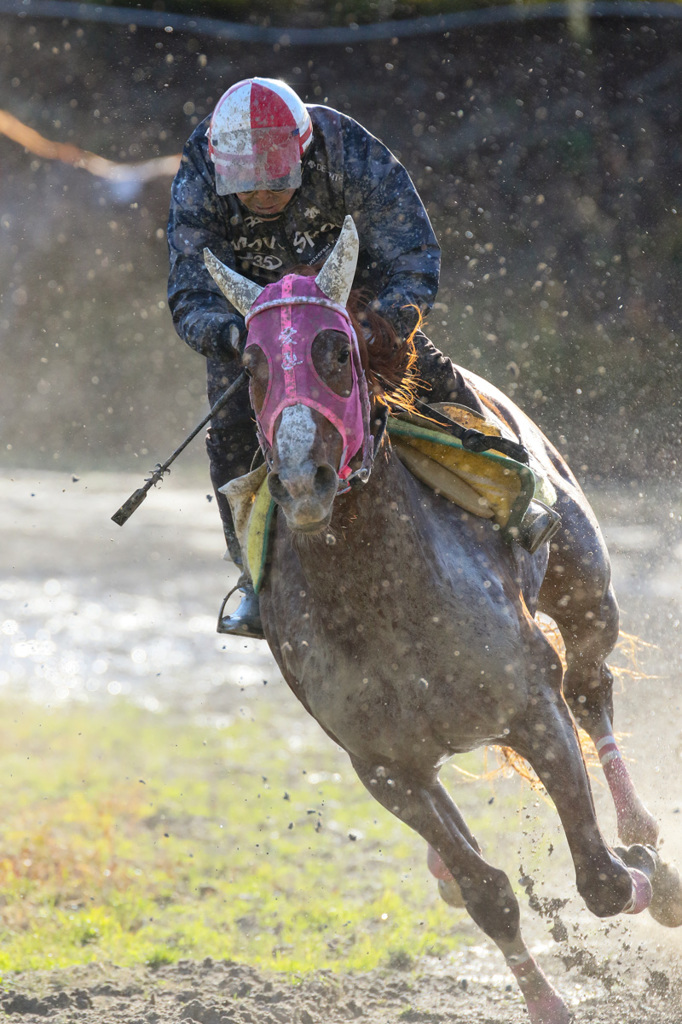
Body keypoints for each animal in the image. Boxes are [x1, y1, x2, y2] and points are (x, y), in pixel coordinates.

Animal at [202, 218, 679, 1024]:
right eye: (253, 365)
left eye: (337, 353)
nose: (301, 477)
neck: (388, 601)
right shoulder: (386, 770)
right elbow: (489, 893)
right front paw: (545, 1001)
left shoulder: (531, 708)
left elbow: (604, 879)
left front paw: (646, 870)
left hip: (586, 592)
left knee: (591, 690)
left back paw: (646, 838)